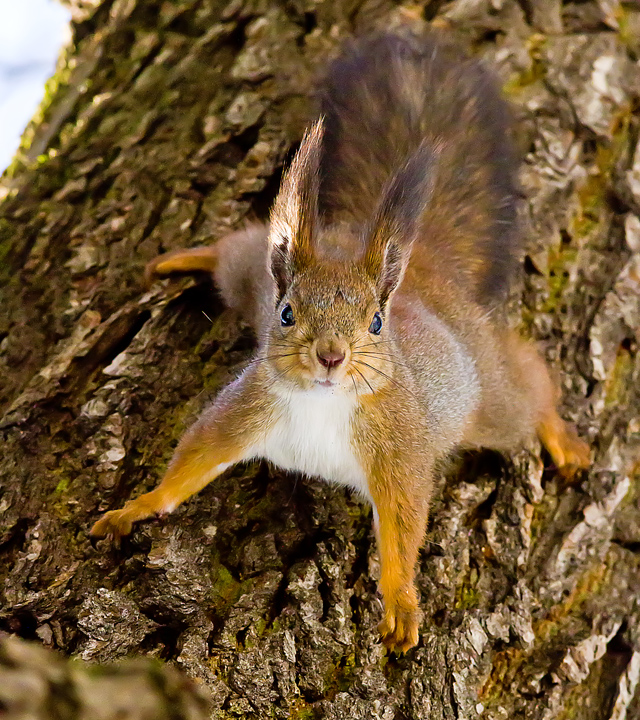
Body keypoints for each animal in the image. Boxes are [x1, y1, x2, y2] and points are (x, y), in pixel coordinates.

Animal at [91, 31, 592, 652]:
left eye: (375, 323)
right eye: (287, 314)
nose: (331, 357)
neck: (322, 402)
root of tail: (422, 272)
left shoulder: (398, 445)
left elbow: (404, 522)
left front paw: (400, 602)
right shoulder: (245, 409)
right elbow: (195, 457)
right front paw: (137, 509)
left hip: (490, 392)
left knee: (527, 388)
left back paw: (558, 434)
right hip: (255, 275)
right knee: (240, 249)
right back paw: (185, 257)